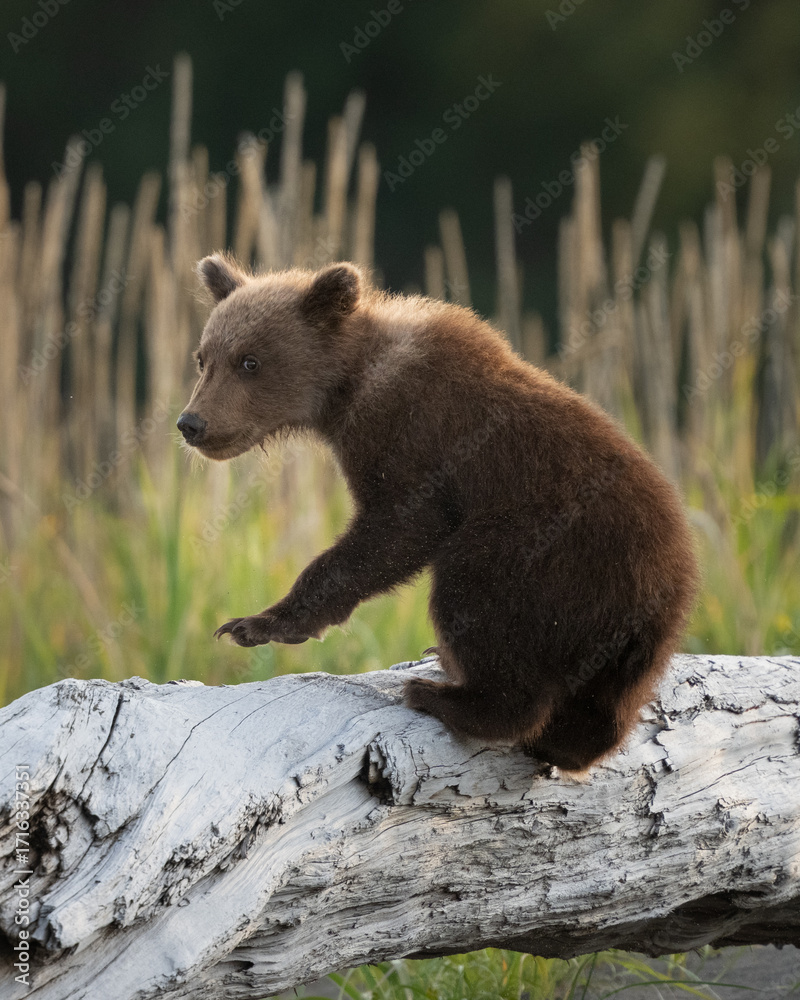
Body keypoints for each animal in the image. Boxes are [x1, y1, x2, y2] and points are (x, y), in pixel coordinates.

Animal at [177, 253, 699, 772]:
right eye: (203, 358)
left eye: (250, 361)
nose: (191, 423)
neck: (349, 387)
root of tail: (667, 588)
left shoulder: (416, 439)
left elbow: (397, 530)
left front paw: (255, 624)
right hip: (620, 645)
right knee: (599, 711)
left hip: (551, 551)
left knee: (474, 585)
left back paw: (441, 693)